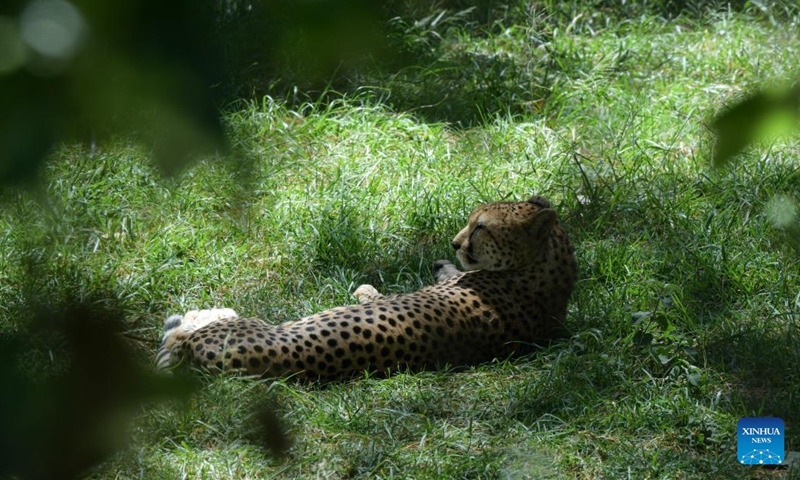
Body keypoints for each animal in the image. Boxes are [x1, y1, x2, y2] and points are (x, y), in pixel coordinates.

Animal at [155, 195, 576, 378]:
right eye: (471, 221)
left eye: (481, 227)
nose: (455, 243)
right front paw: (439, 263)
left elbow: (376, 293)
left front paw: (363, 289)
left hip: (246, 326)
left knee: (181, 335)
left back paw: (203, 313)